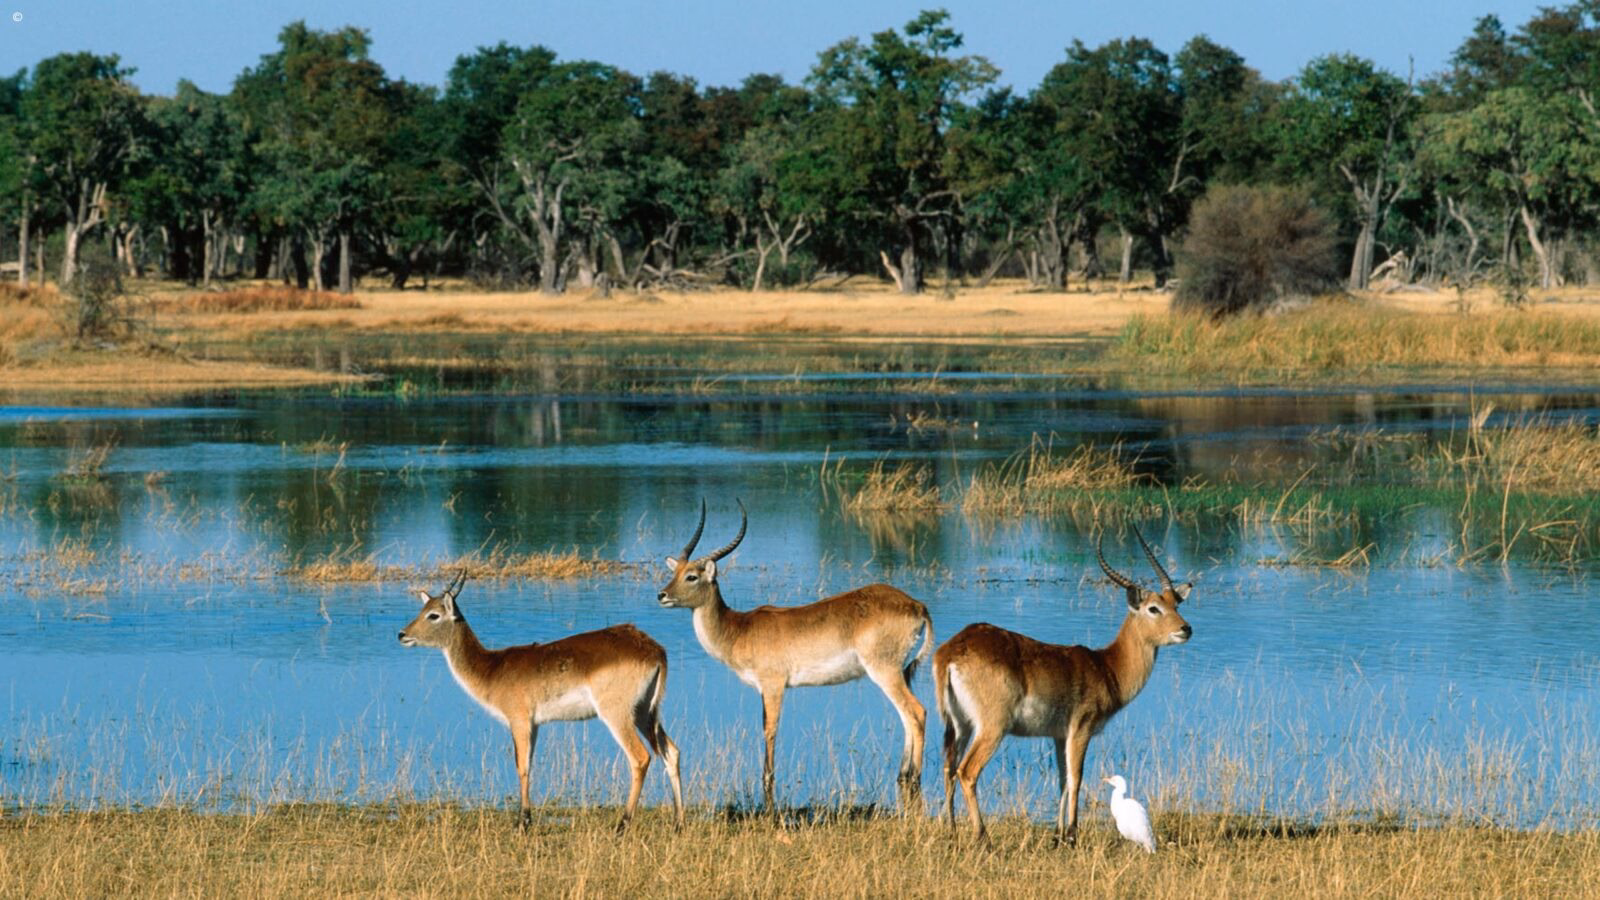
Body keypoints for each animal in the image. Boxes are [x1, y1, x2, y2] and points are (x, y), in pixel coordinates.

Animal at [398, 571, 685, 831]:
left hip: (617, 714)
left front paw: (522, 823)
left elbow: (521, 766)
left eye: (433, 615)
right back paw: (678, 824)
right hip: (645, 713)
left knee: (640, 758)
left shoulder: (519, 720)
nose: (402, 634)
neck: (492, 669)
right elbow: (529, 764)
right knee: (671, 752)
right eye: (423, 608)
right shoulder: (534, 724)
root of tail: (654, 650)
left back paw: (622, 826)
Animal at [657, 500, 934, 811]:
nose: (662, 595)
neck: (739, 629)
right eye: (675, 572)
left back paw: (914, 779)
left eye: (692, 576)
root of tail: (917, 605)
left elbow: (770, 729)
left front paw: (767, 780)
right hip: (899, 672)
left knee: (917, 712)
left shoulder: (774, 685)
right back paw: (903, 775)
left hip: (884, 670)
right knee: (906, 716)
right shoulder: (764, 689)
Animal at [934, 526, 1191, 844]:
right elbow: (1077, 777)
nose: (1185, 629)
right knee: (967, 771)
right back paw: (983, 837)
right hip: (992, 727)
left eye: (1176, 603)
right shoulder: (1081, 729)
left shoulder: (1058, 735)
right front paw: (1071, 834)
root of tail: (952, 650)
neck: (1106, 667)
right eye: (1154, 608)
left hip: (959, 724)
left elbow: (1062, 779)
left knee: (948, 767)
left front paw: (1058, 833)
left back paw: (952, 830)